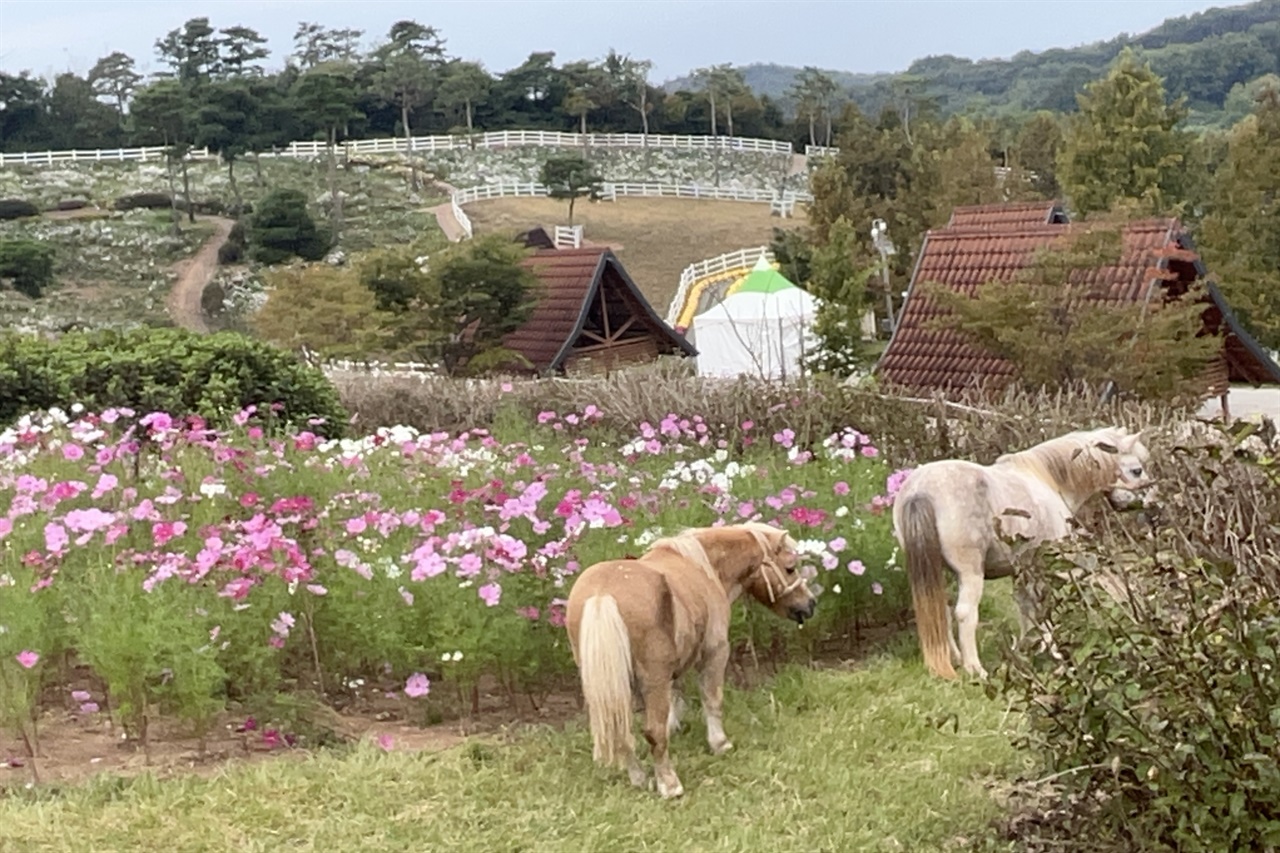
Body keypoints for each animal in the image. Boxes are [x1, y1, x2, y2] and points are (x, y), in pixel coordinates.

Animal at [565, 517, 814, 799]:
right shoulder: (716, 651)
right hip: (651, 679)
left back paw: (639, 778)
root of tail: (602, 595)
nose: (810, 605)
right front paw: (720, 744)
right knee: (652, 732)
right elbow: (712, 699)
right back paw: (670, 785)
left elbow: (676, 693)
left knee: (621, 730)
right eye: (790, 568)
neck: (704, 566)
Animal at [896, 425, 1157, 676]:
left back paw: (956, 660)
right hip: (970, 574)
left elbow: (1025, 608)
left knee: (941, 610)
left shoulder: (1020, 568)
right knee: (964, 613)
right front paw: (1054, 655)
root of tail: (920, 490)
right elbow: (1041, 609)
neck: (1048, 479)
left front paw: (1027, 648)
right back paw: (975, 669)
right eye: (1137, 470)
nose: (1151, 502)